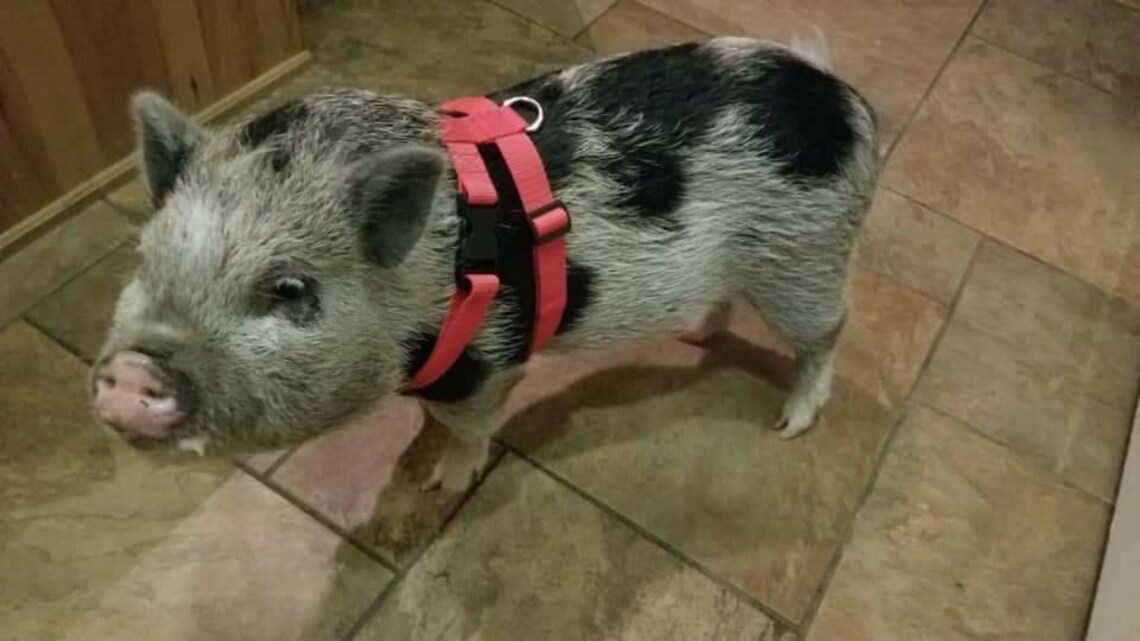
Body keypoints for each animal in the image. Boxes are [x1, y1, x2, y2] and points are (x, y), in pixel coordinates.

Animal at [91, 36, 878, 493]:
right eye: (145, 259)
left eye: (289, 288)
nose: (132, 370)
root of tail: (841, 99)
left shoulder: (487, 362)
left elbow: (468, 427)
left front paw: (440, 486)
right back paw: (693, 332)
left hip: (806, 254)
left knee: (832, 329)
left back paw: (790, 422)